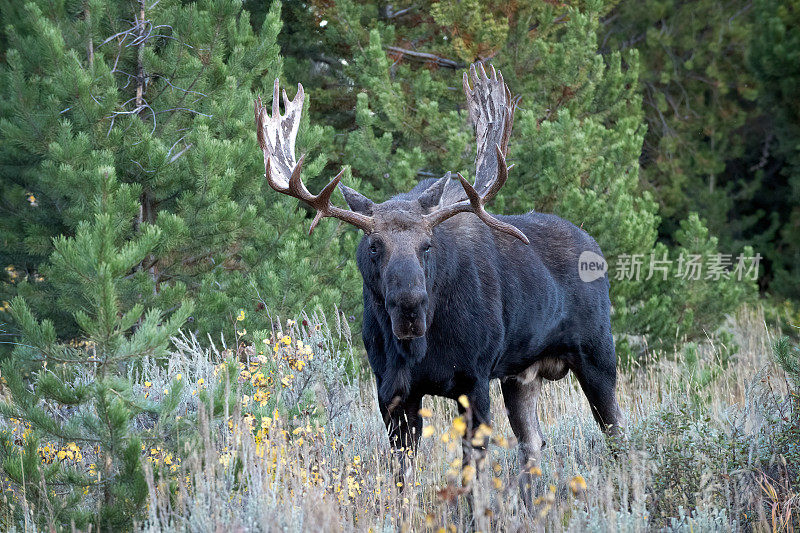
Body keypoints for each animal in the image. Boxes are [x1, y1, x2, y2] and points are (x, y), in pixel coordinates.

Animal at [256, 65, 624, 494]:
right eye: (374, 245)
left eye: (427, 245)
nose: (410, 306)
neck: (420, 349)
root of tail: (595, 247)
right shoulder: (393, 391)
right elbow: (402, 476)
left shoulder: (474, 378)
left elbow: (472, 473)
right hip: (521, 374)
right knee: (533, 444)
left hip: (597, 353)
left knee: (618, 433)